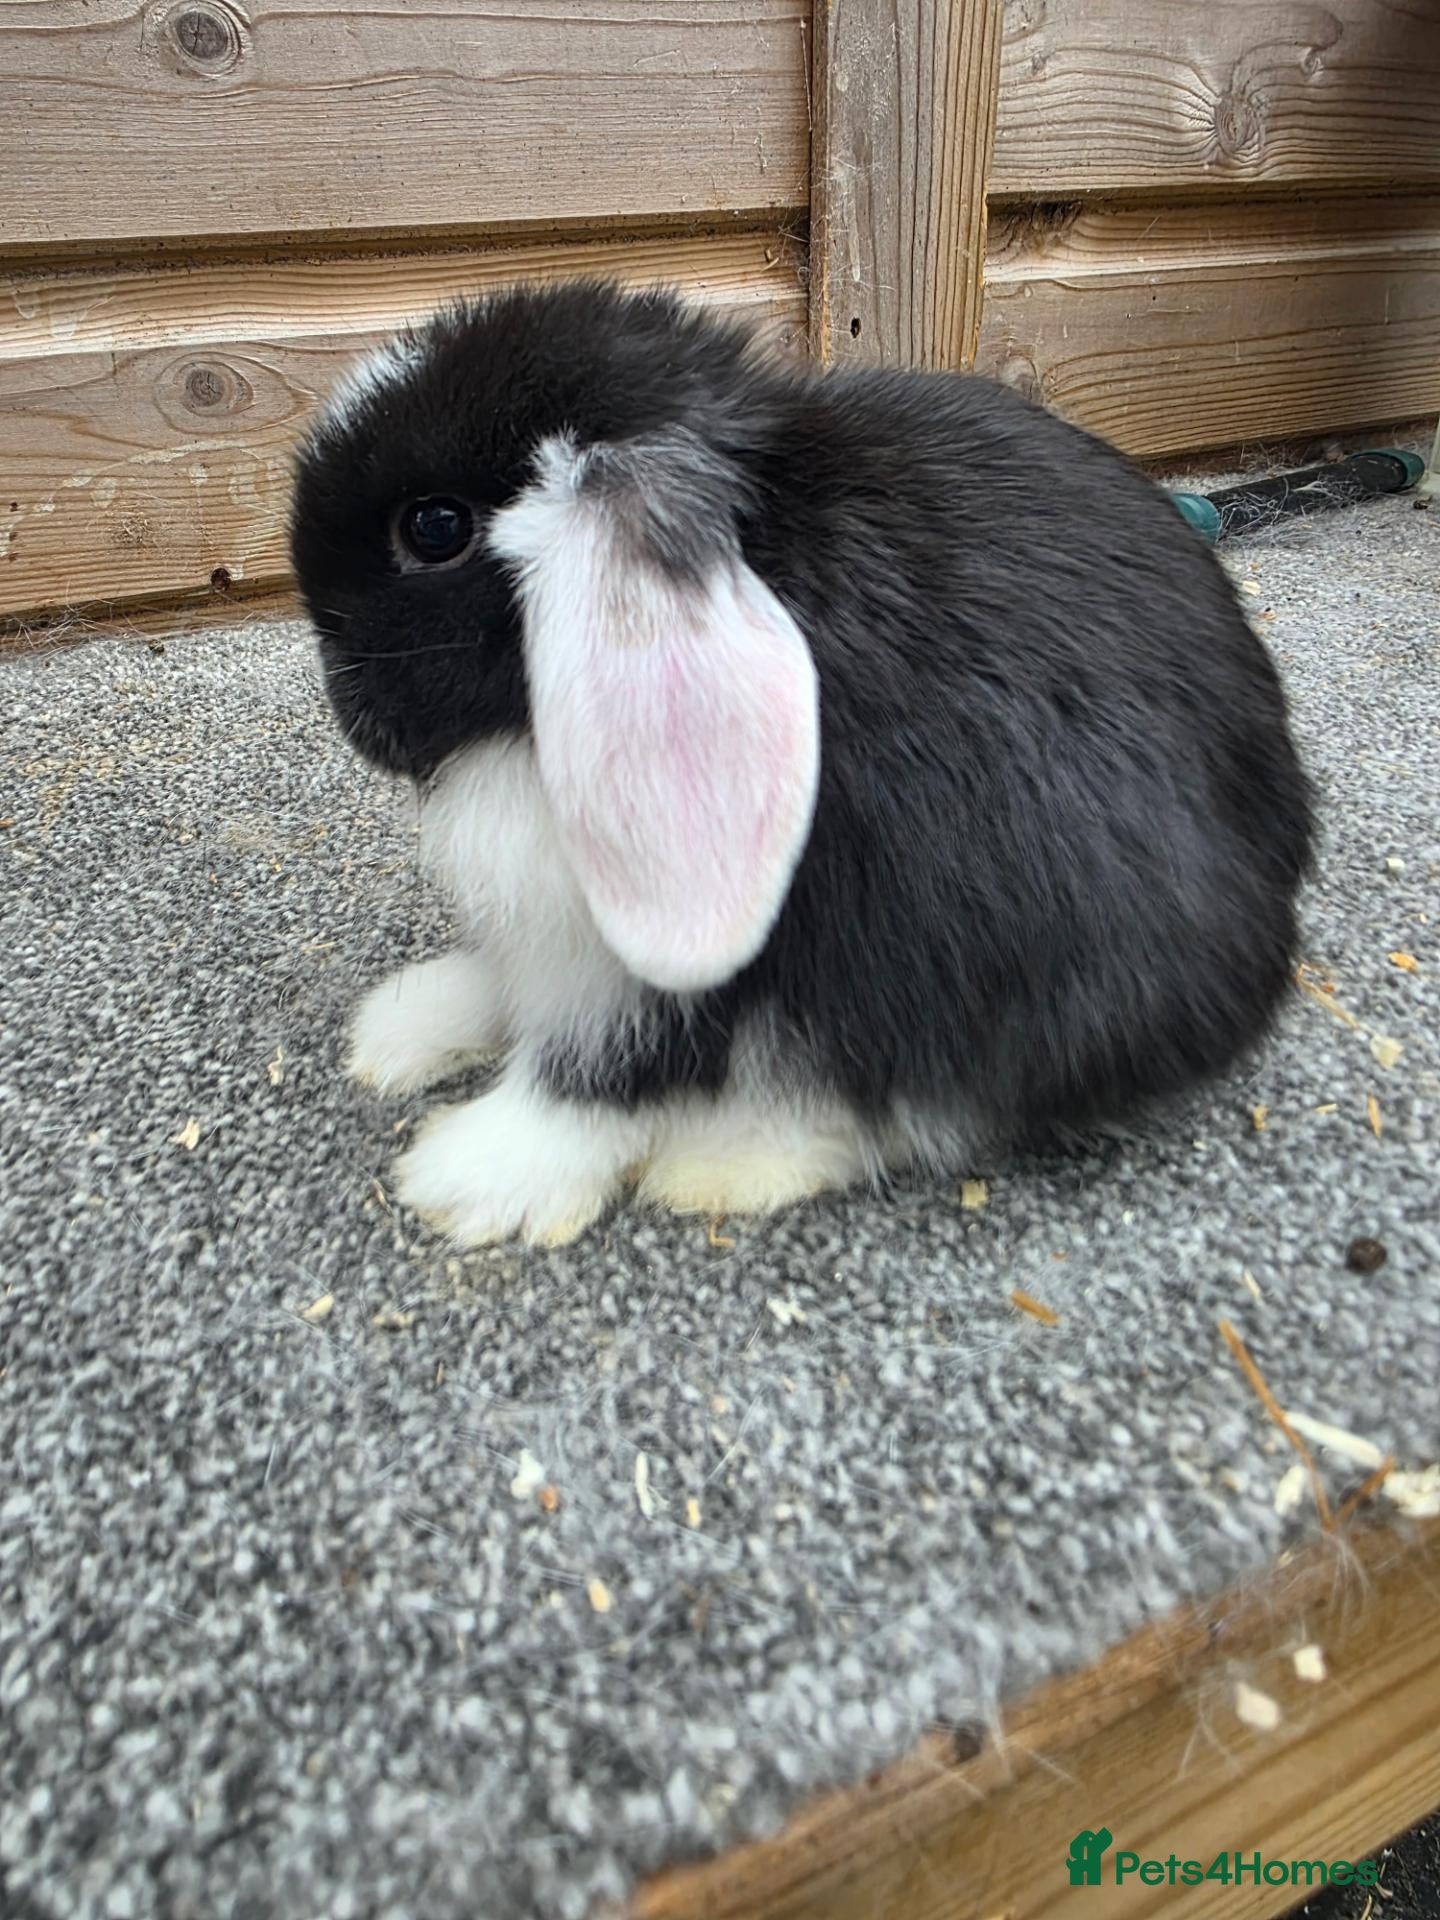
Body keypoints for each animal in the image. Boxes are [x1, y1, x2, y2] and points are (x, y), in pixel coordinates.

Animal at [290, 280, 1314, 1247]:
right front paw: (414, 1021)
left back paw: (727, 1163)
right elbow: (508, 985)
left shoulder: (654, 975)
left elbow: (602, 1077)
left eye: (433, 528)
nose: (348, 708)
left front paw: (475, 1176)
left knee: (921, 1102)